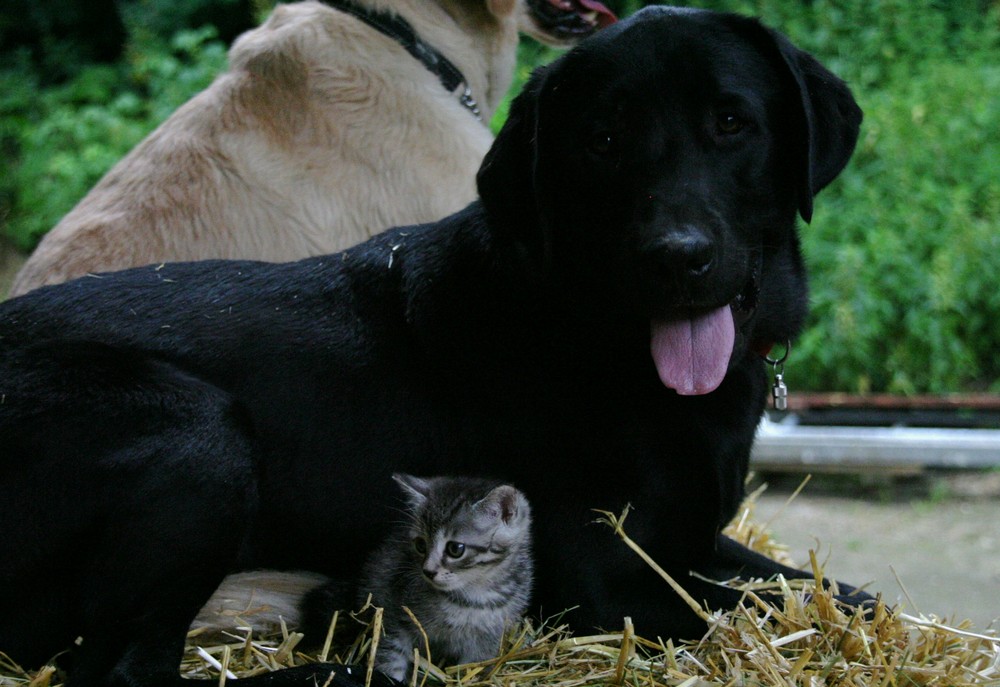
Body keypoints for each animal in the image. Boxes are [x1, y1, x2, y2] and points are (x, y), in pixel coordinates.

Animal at [364, 476, 536, 680]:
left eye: (455, 549)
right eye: (420, 545)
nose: (428, 571)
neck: (472, 595)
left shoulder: (487, 639)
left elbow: (473, 667)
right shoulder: (395, 613)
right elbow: (391, 654)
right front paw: (389, 675)